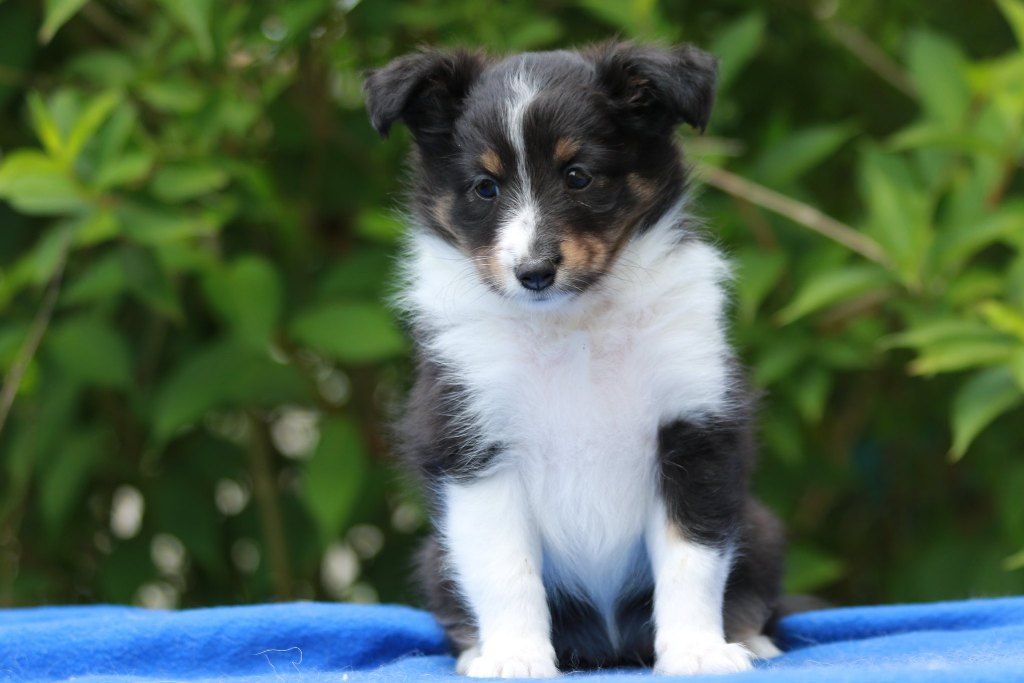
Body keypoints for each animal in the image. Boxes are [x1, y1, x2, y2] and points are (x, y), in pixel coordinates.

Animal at [364, 42, 785, 677]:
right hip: (434, 556)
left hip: (759, 527)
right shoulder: (473, 444)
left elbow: (692, 556)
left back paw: (750, 640)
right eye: (484, 187)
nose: (534, 273)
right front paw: (515, 657)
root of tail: (609, 647)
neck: (573, 326)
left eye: (578, 176)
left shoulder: (693, 429)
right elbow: (504, 568)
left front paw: (697, 651)